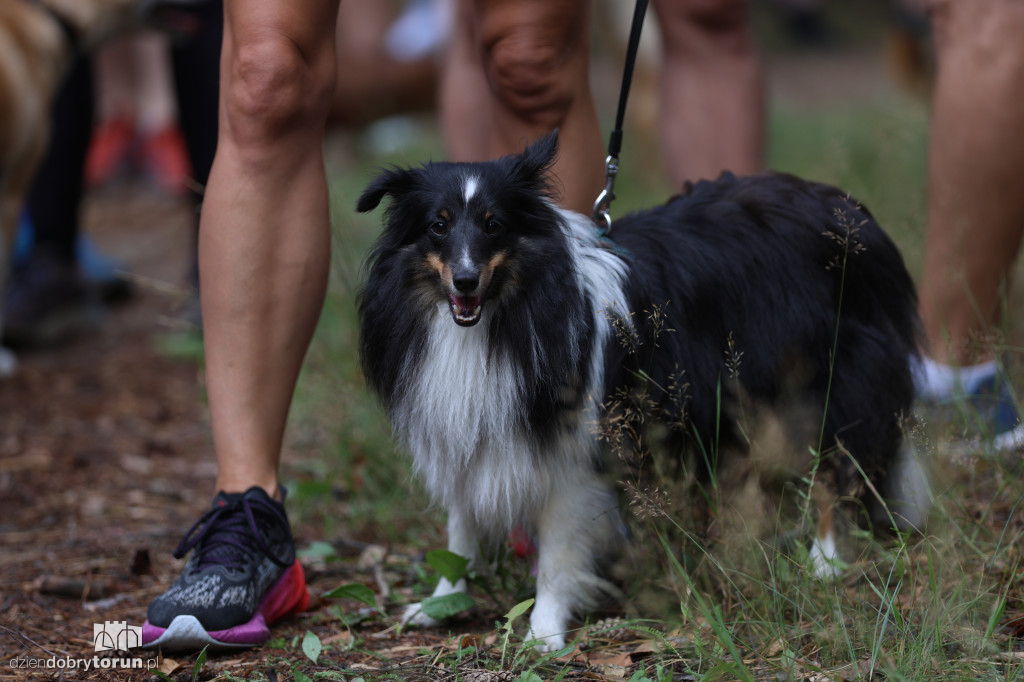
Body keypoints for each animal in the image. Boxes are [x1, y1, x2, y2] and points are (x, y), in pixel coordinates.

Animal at [356, 133, 933, 647]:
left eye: (493, 224)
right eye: (438, 226)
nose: (465, 281)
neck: (503, 317)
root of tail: (848, 209)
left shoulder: (577, 457)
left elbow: (559, 553)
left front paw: (545, 631)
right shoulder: (462, 431)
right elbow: (461, 530)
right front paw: (441, 601)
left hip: (835, 382)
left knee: (840, 470)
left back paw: (825, 561)